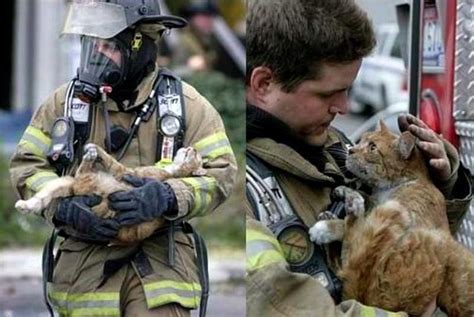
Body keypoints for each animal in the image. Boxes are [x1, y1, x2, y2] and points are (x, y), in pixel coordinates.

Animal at [15, 143, 205, 242]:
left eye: (196, 156)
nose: (193, 148)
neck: (173, 171)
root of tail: (77, 187)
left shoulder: (125, 171)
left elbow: (112, 160)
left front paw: (97, 150)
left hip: (80, 178)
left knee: (83, 168)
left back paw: (91, 154)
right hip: (66, 182)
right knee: (40, 198)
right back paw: (24, 205)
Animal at [310, 121, 472, 316]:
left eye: (372, 147)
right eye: (361, 140)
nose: (350, 150)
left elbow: (360, 231)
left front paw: (331, 225)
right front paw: (347, 192)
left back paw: (331, 222)